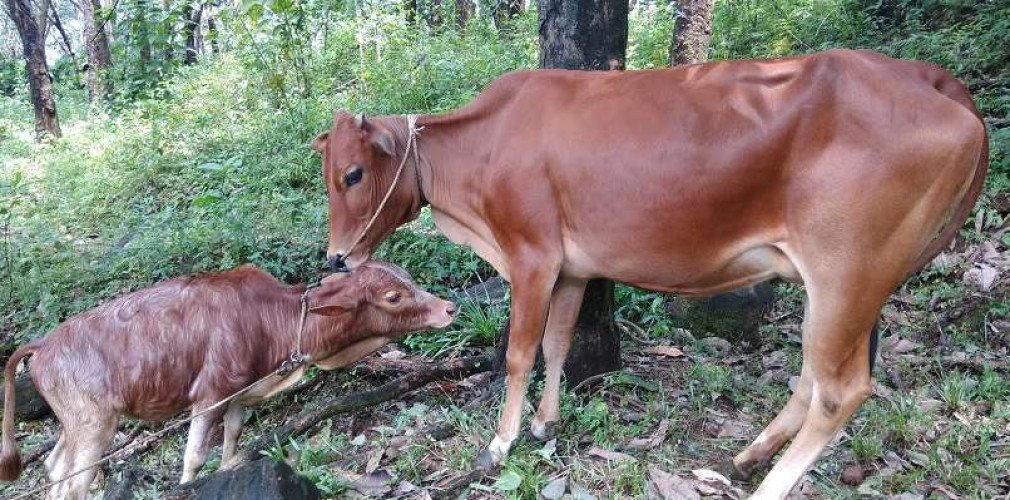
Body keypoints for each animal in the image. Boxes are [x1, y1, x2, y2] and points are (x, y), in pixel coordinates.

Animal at [0, 264, 454, 498]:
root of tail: (42, 344)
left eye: (407, 277)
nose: (449, 308)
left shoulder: (240, 392)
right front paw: (188, 486)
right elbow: (194, 457)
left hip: (75, 423)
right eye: (393, 297)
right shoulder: (211, 392)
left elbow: (232, 439)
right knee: (75, 483)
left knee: (55, 468)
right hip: (96, 423)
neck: (272, 321)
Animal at [313, 48, 985, 498]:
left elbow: (520, 352)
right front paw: (546, 423)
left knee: (840, 391)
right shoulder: (571, 268)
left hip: (847, 275)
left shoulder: (532, 257)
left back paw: (769, 482)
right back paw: (749, 456)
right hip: (848, 292)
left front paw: (500, 441)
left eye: (352, 174)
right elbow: (558, 344)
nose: (336, 258)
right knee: (813, 377)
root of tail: (932, 80)